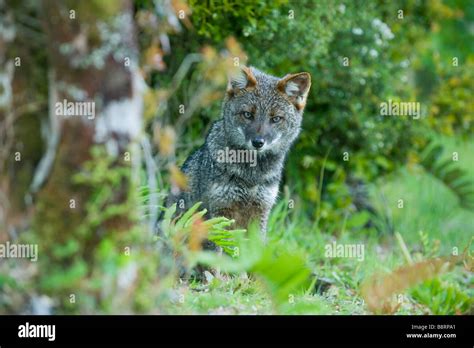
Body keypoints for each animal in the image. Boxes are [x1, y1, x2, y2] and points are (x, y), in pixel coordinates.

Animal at [166, 66, 312, 242]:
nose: (258, 142)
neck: (251, 176)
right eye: (248, 114)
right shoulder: (221, 210)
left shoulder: (261, 210)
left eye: (276, 119)